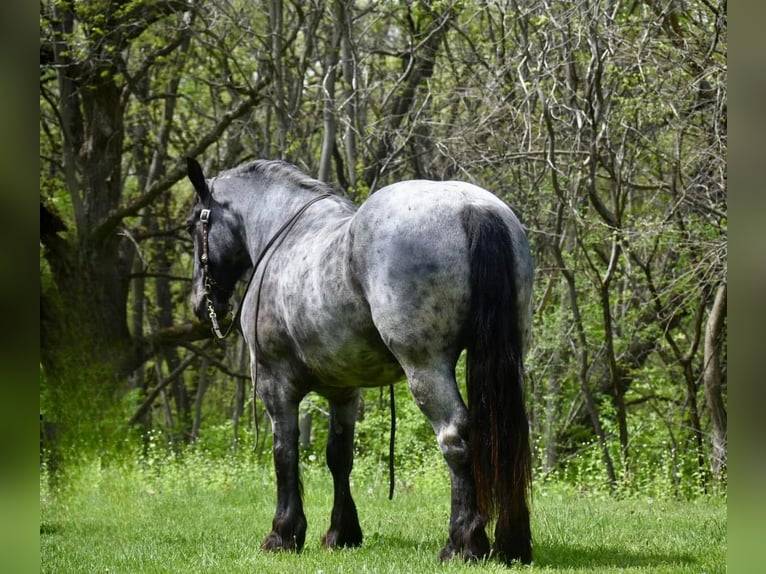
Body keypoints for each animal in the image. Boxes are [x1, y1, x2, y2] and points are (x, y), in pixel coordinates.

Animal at [184, 158, 536, 568]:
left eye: (192, 225)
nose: (199, 303)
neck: (284, 236)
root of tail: (472, 207)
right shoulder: (344, 390)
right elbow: (339, 456)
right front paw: (342, 533)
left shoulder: (276, 387)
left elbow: (284, 453)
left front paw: (283, 534)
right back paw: (511, 544)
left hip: (426, 368)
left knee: (455, 437)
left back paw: (463, 542)